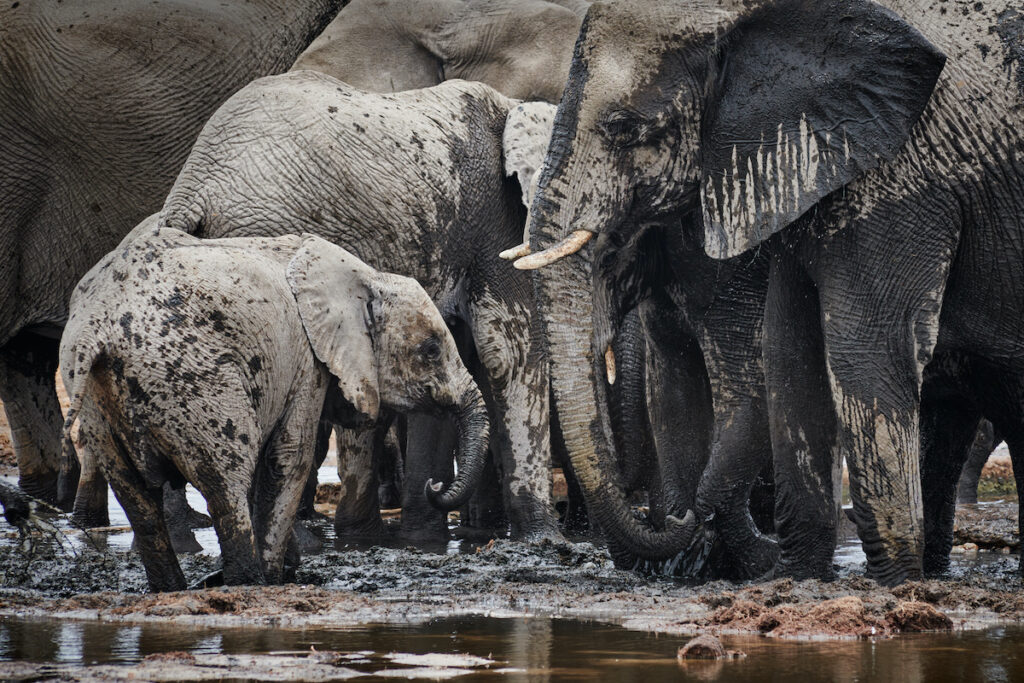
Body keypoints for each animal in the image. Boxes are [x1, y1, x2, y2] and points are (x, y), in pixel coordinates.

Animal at [58, 229, 489, 593]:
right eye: (431, 350)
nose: (434, 486)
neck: (363, 276)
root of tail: (94, 328)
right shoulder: (306, 361)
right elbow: (288, 457)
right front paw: (278, 575)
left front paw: (289, 568)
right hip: (191, 378)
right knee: (226, 481)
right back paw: (244, 583)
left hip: (98, 397)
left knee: (136, 497)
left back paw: (173, 589)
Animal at [520, 0, 1024, 589]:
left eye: (623, 128)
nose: (678, 517)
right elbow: (774, 357)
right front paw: (787, 578)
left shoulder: (902, 175)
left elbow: (856, 352)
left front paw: (893, 586)